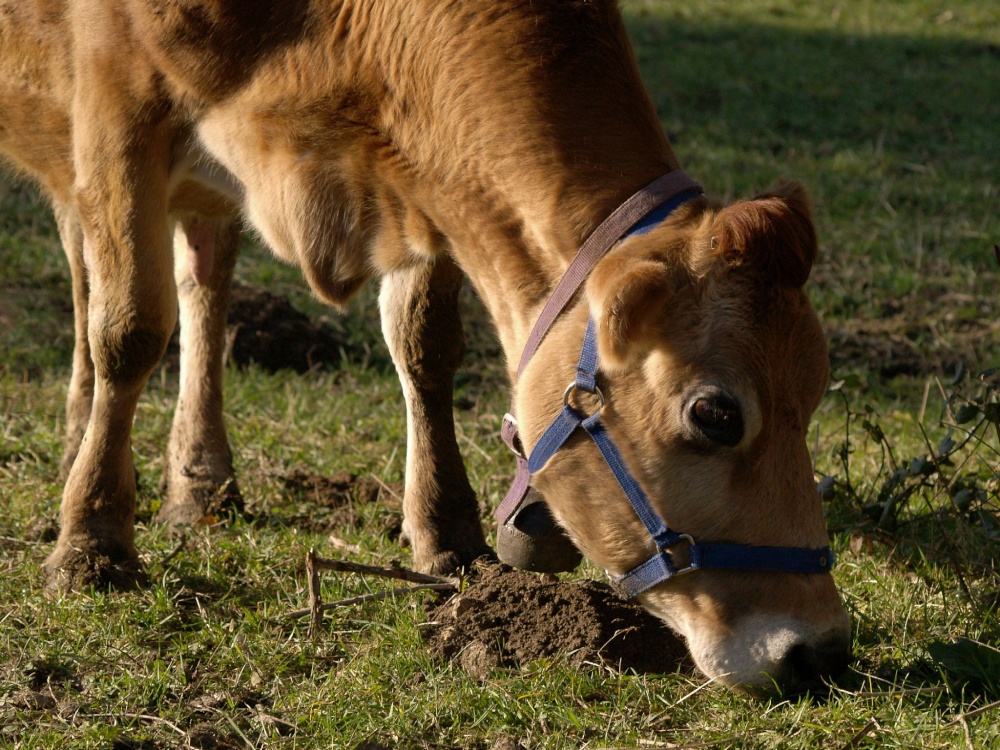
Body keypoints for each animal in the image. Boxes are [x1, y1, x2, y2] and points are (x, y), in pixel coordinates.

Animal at [0, 1, 850, 694]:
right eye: (716, 414)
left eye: (815, 396)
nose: (820, 650)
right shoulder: (116, 107)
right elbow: (130, 329)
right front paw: (92, 543)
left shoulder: (425, 177)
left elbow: (424, 344)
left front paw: (446, 533)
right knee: (96, 273)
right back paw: (86, 440)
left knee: (202, 275)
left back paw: (198, 478)